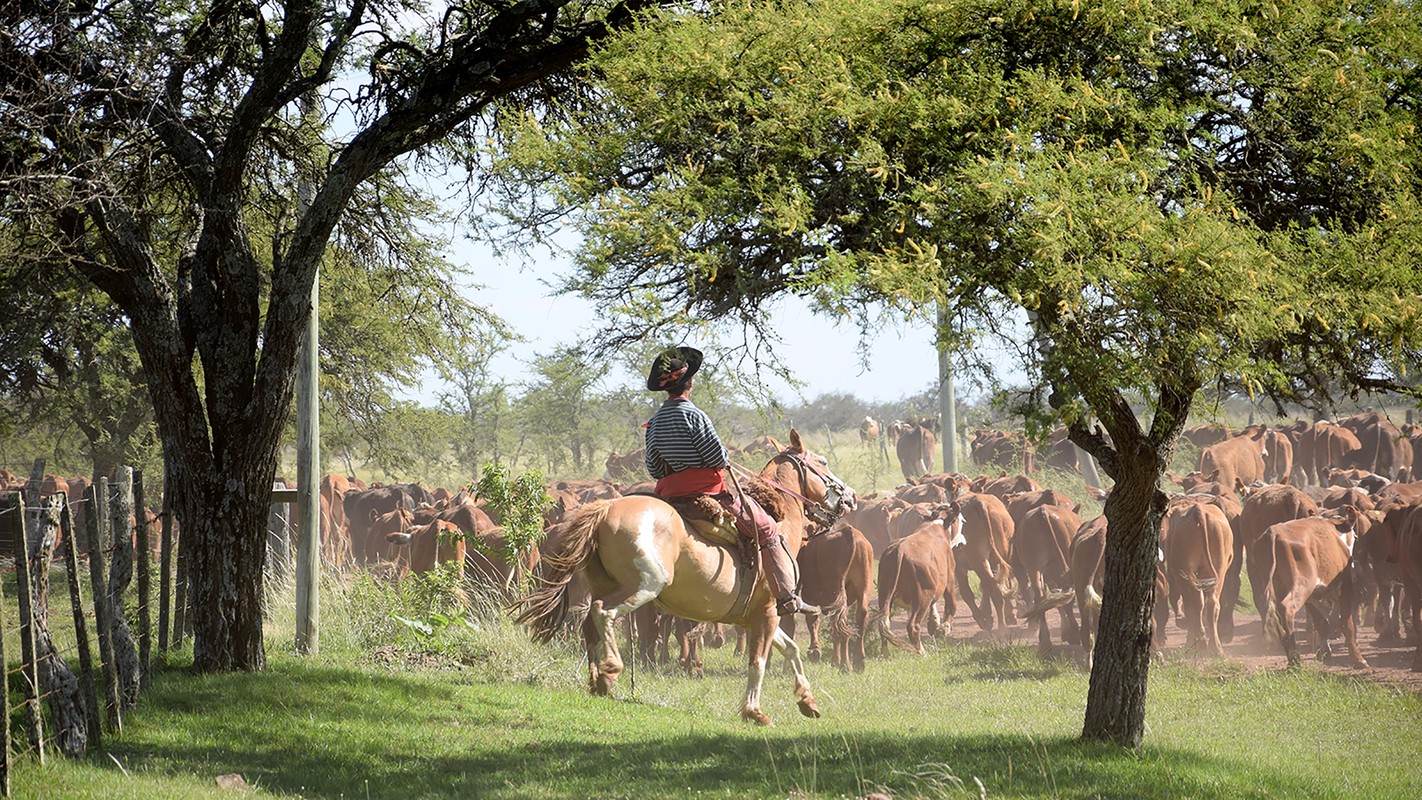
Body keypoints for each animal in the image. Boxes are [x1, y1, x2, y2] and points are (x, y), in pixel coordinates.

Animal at [523, 431, 853, 727]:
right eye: (822, 462)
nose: (849, 497)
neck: (781, 522)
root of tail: (605, 509)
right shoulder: (769, 612)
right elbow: (757, 663)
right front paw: (754, 712)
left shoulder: (758, 615)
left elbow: (791, 649)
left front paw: (807, 700)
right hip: (643, 587)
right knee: (604, 612)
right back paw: (611, 669)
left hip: (608, 585)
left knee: (590, 624)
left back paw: (595, 680)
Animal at [1166, 500, 1234, 656]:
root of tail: (1198, 509)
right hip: (1219, 571)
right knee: (1212, 605)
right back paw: (1215, 648)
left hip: (1185, 574)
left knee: (1195, 604)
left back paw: (1198, 644)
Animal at [1262, 514, 1370, 670]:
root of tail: (1274, 531)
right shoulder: (1345, 587)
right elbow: (1346, 624)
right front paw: (1358, 659)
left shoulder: (1312, 598)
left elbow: (1322, 623)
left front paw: (1324, 653)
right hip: (1302, 586)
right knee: (1287, 608)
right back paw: (1294, 659)